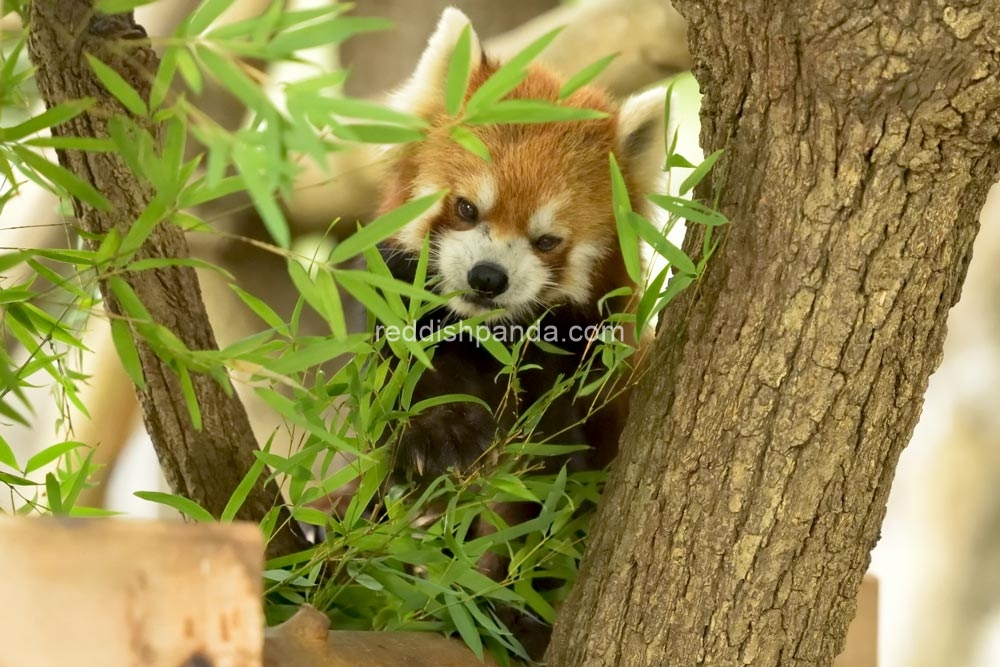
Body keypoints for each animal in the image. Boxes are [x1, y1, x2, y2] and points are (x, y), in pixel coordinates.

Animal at [378, 7, 668, 488]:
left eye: (547, 240)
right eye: (467, 208)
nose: (487, 277)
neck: (496, 335)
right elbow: (414, 372)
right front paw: (443, 434)